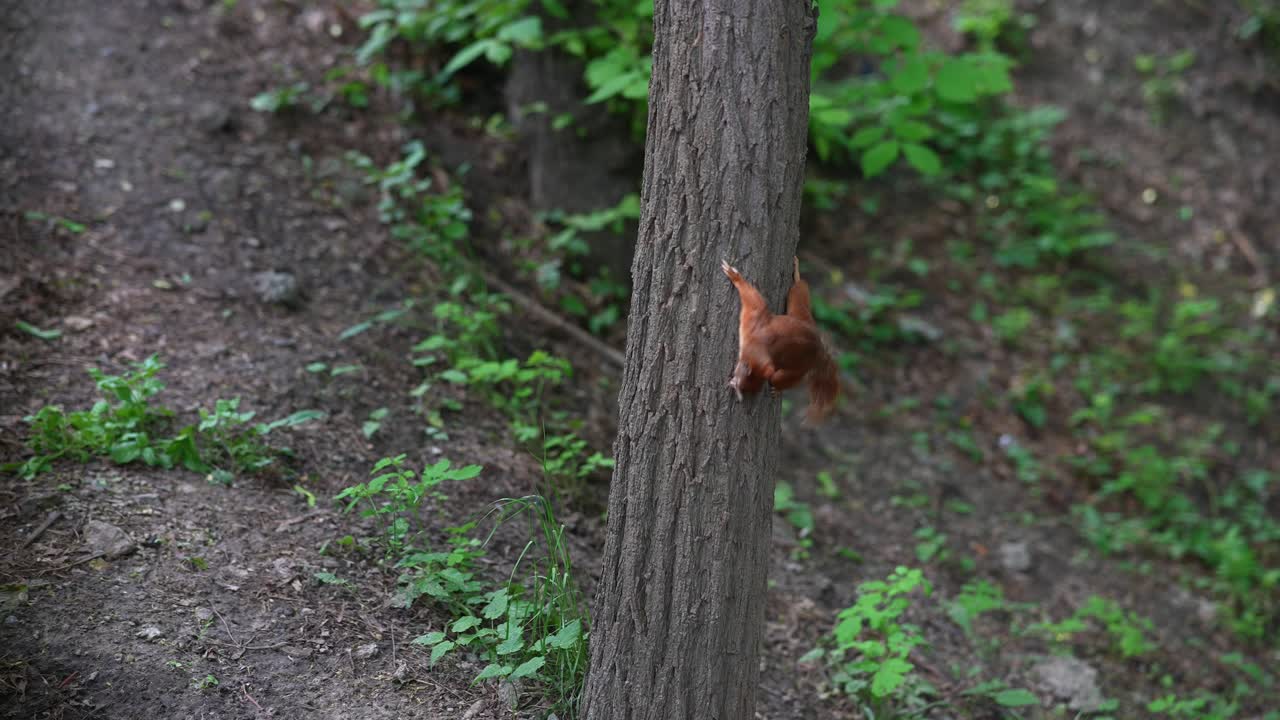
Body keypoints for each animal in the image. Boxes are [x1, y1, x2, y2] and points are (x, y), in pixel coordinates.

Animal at [721, 257, 840, 424]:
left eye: (744, 385)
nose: (733, 386)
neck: (757, 345)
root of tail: (819, 349)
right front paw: (735, 276)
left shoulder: (754, 321)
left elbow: (755, 300)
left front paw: (735, 277)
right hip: (799, 312)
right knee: (799, 291)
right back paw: (797, 273)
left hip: (796, 370)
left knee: (784, 379)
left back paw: (778, 389)